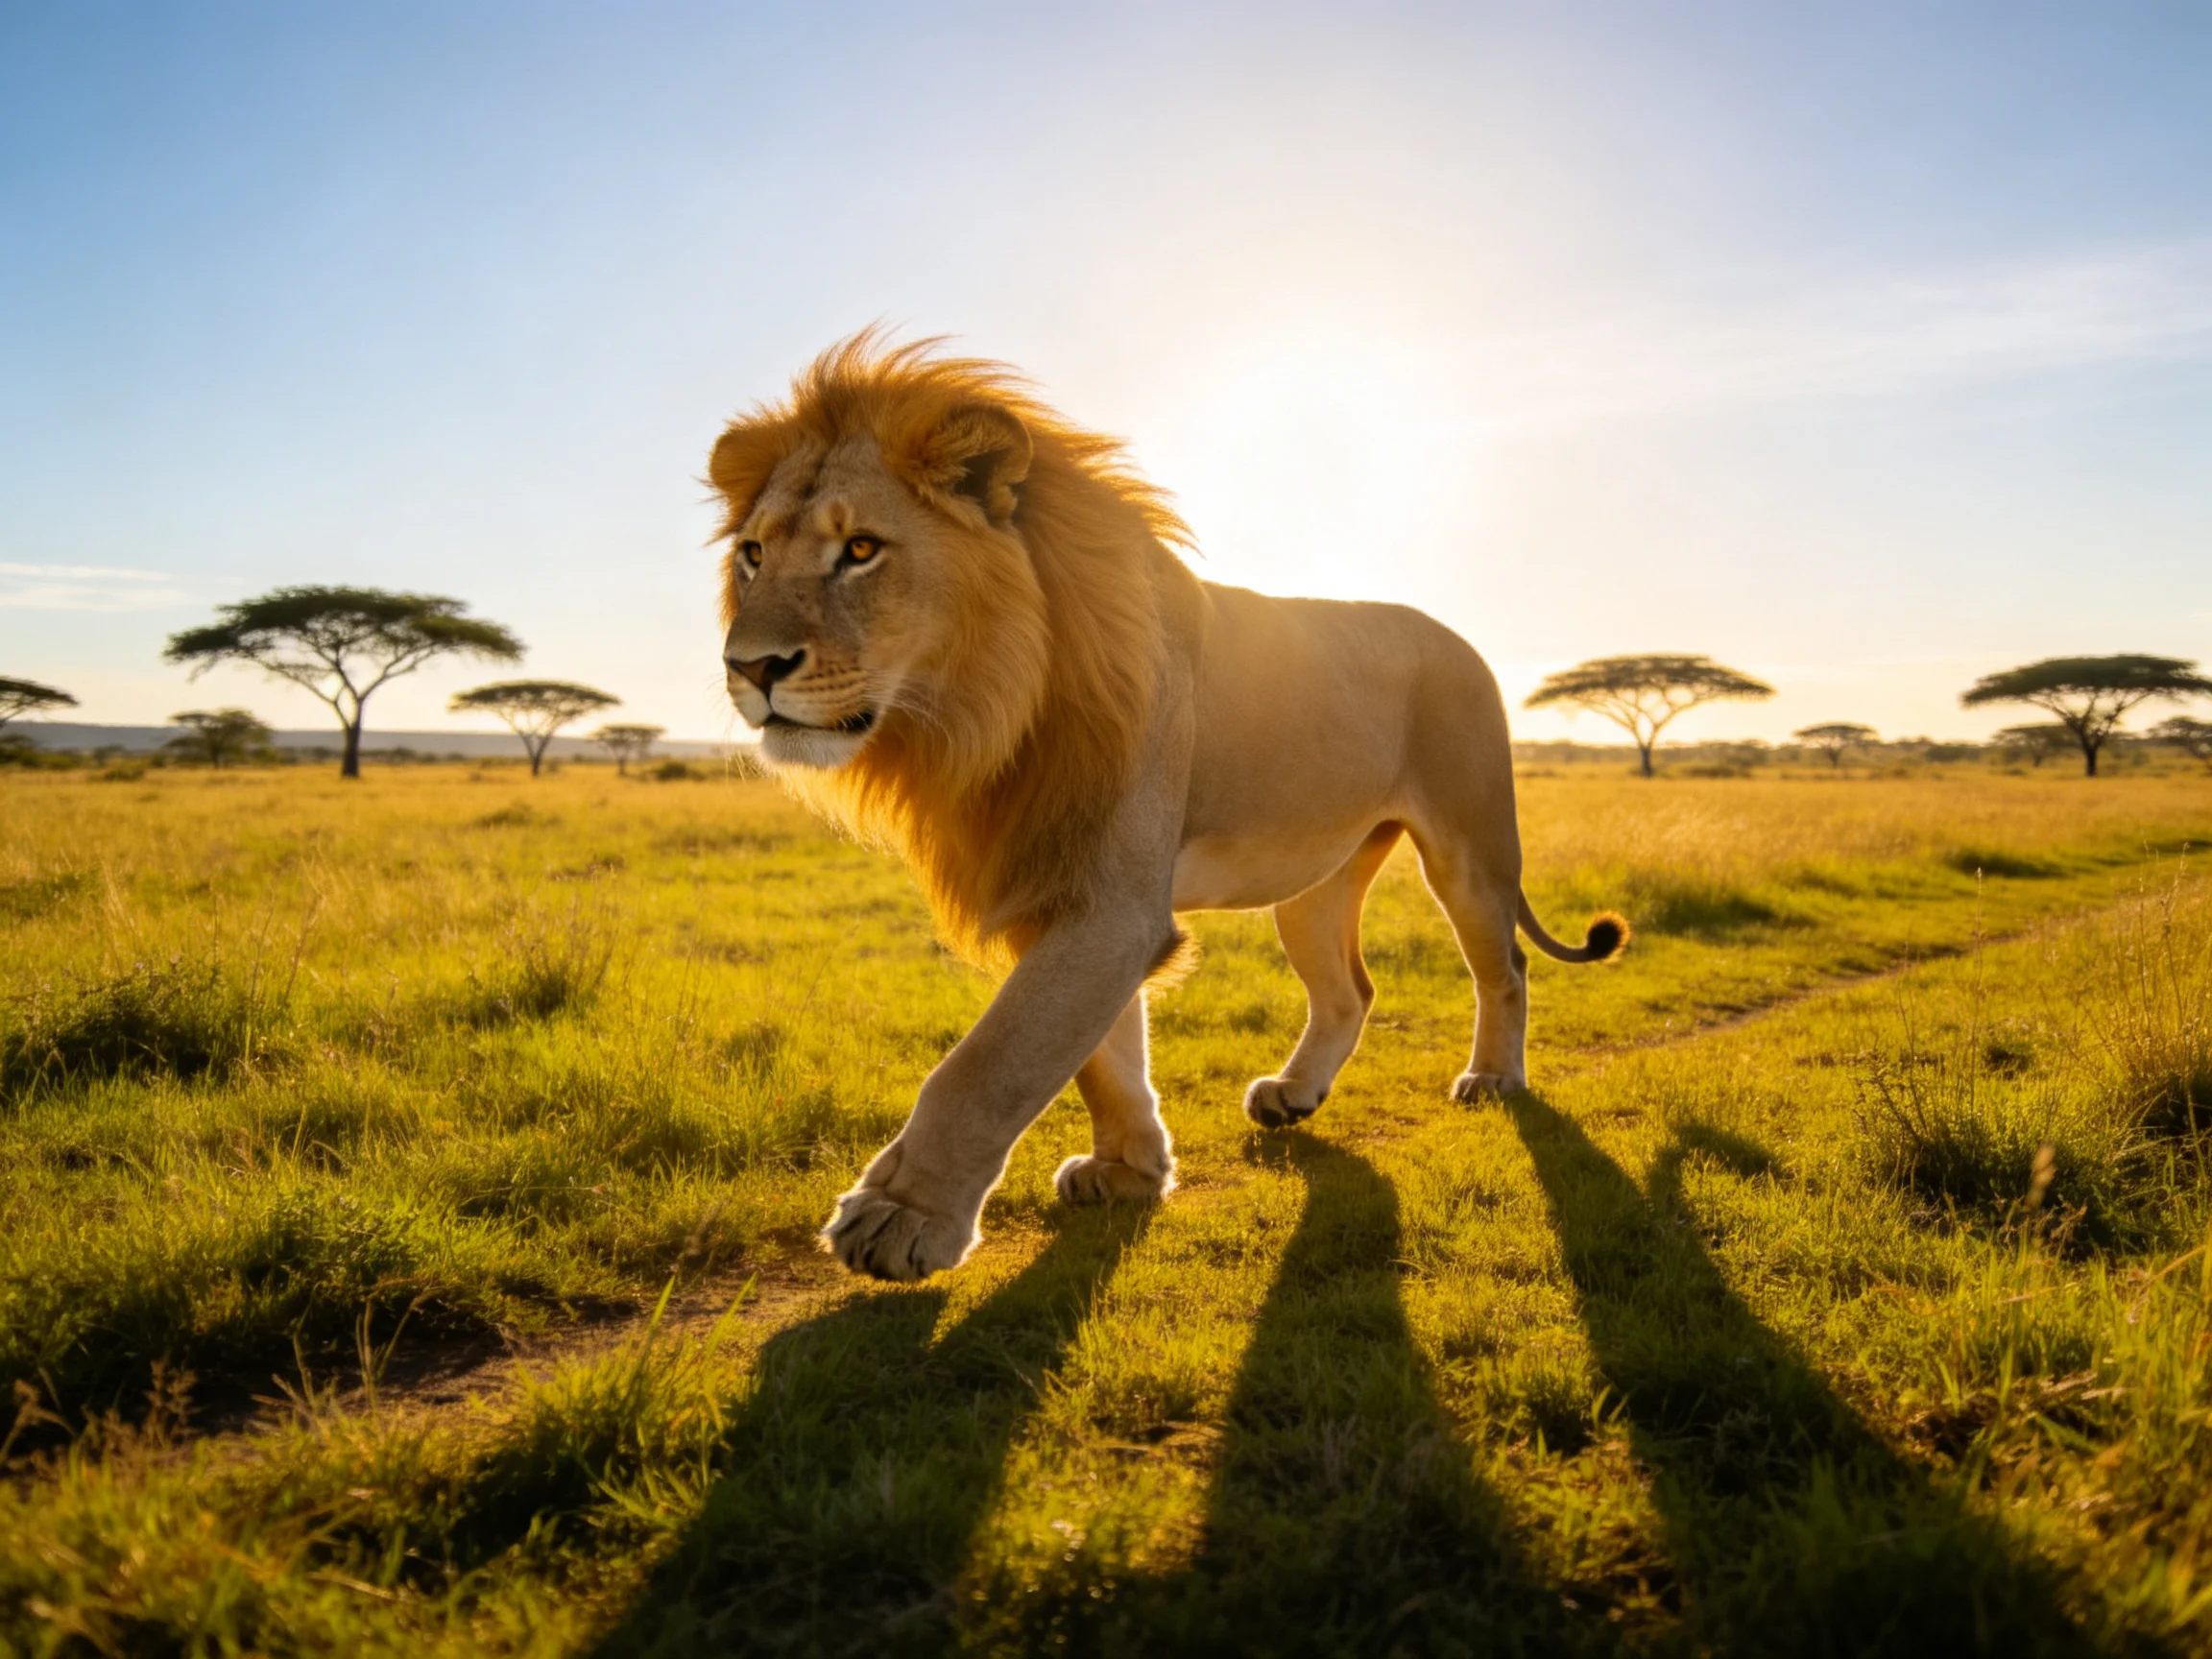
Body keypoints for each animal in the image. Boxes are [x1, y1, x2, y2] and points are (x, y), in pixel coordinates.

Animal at [710, 334, 1627, 1282]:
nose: (749, 667)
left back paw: (1493, 1080)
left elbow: (992, 1063)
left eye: (860, 548)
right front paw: (1130, 1171)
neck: (986, 707)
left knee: (1504, 965)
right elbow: (1100, 1055)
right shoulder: (1058, 885)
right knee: (1350, 989)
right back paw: (1295, 1094)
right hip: (1312, 882)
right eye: (753, 555)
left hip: (1469, 850)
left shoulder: (1110, 902)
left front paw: (900, 1214)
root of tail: (1459, 637)